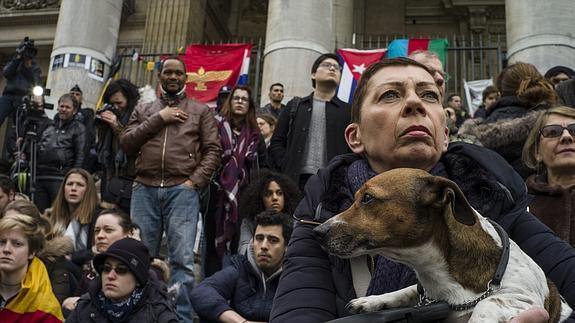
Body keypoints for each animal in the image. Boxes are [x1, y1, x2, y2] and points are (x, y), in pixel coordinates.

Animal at [318, 168, 572, 322]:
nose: (317, 231)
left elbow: (487, 304)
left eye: (368, 198)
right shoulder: (426, 292)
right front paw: (372, 301)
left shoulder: (524, 299)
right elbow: (406, 291)